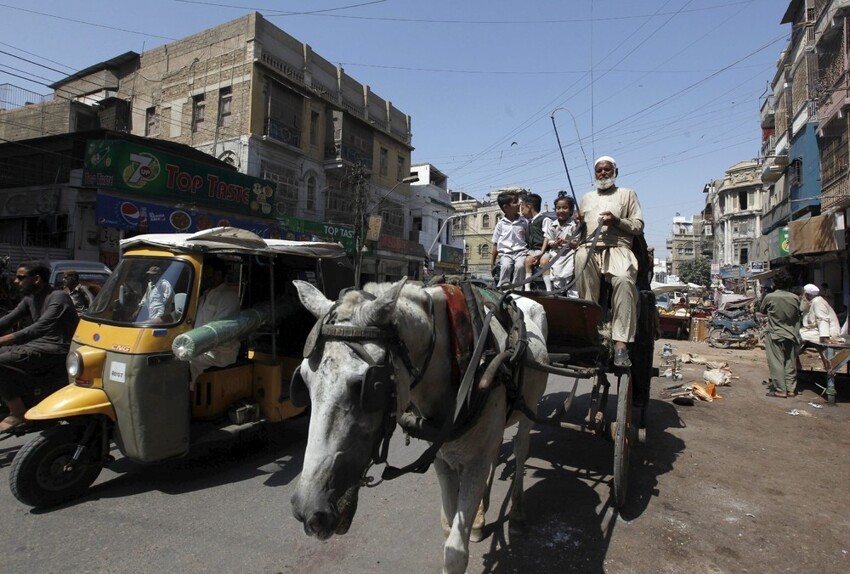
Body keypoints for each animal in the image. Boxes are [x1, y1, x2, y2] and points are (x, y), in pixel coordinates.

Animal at [288, 276, 548, 572]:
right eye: (303, 381)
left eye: (365, 386)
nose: (308, 510)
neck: (462, 359)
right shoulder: (443, 459)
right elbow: (447, 526)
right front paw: (474, 518)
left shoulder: (474, 462)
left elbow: (455, 552)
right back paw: (481, 516)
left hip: (529, 410)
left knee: (520, 449)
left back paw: (516, 512)